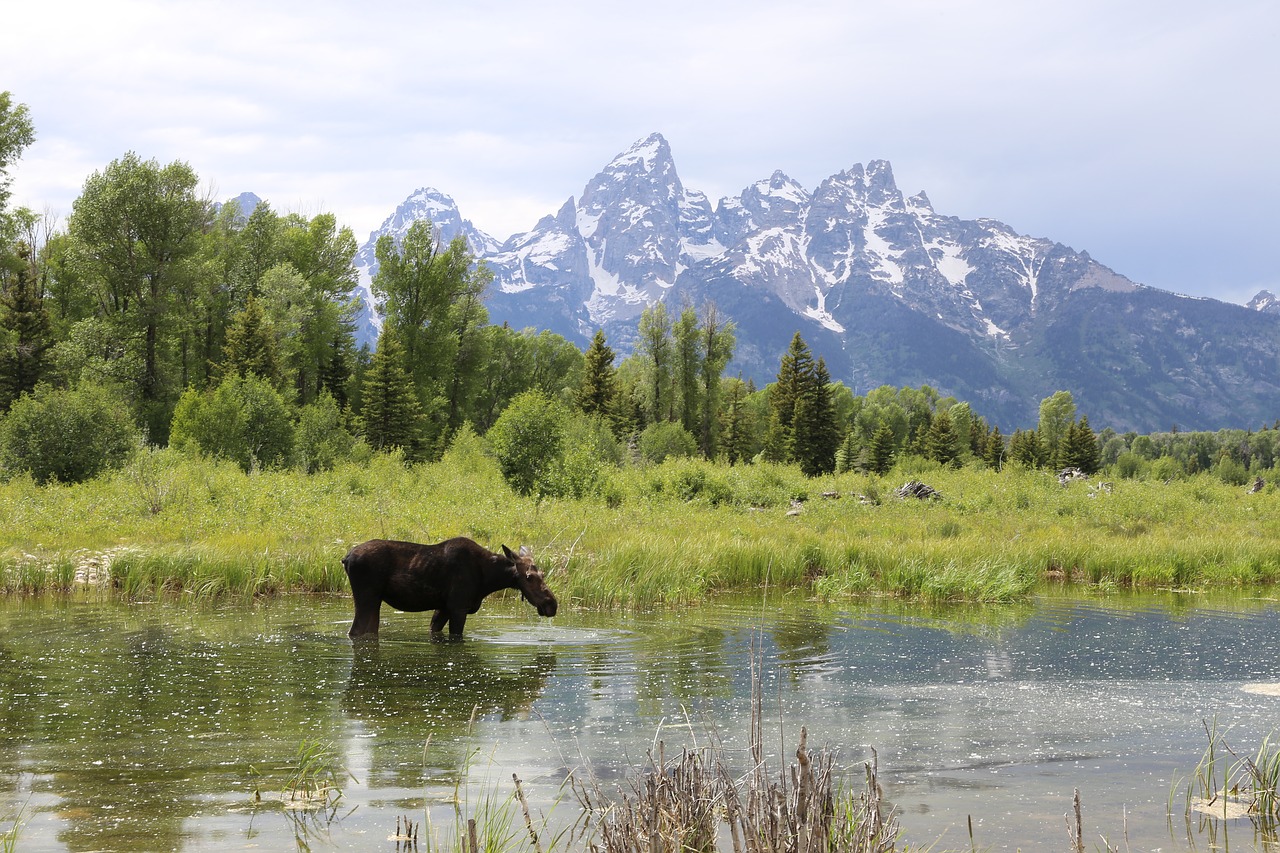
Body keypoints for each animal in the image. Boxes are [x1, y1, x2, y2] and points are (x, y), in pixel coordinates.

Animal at [343, 535, 558, 635]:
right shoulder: (458, 607)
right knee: (355, 630)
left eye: (543, 574)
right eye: (529, 576)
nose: (552, 604)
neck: (488, 580)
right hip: (367, 597)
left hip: (375, 600)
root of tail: (345, 558)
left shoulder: (444, 607)